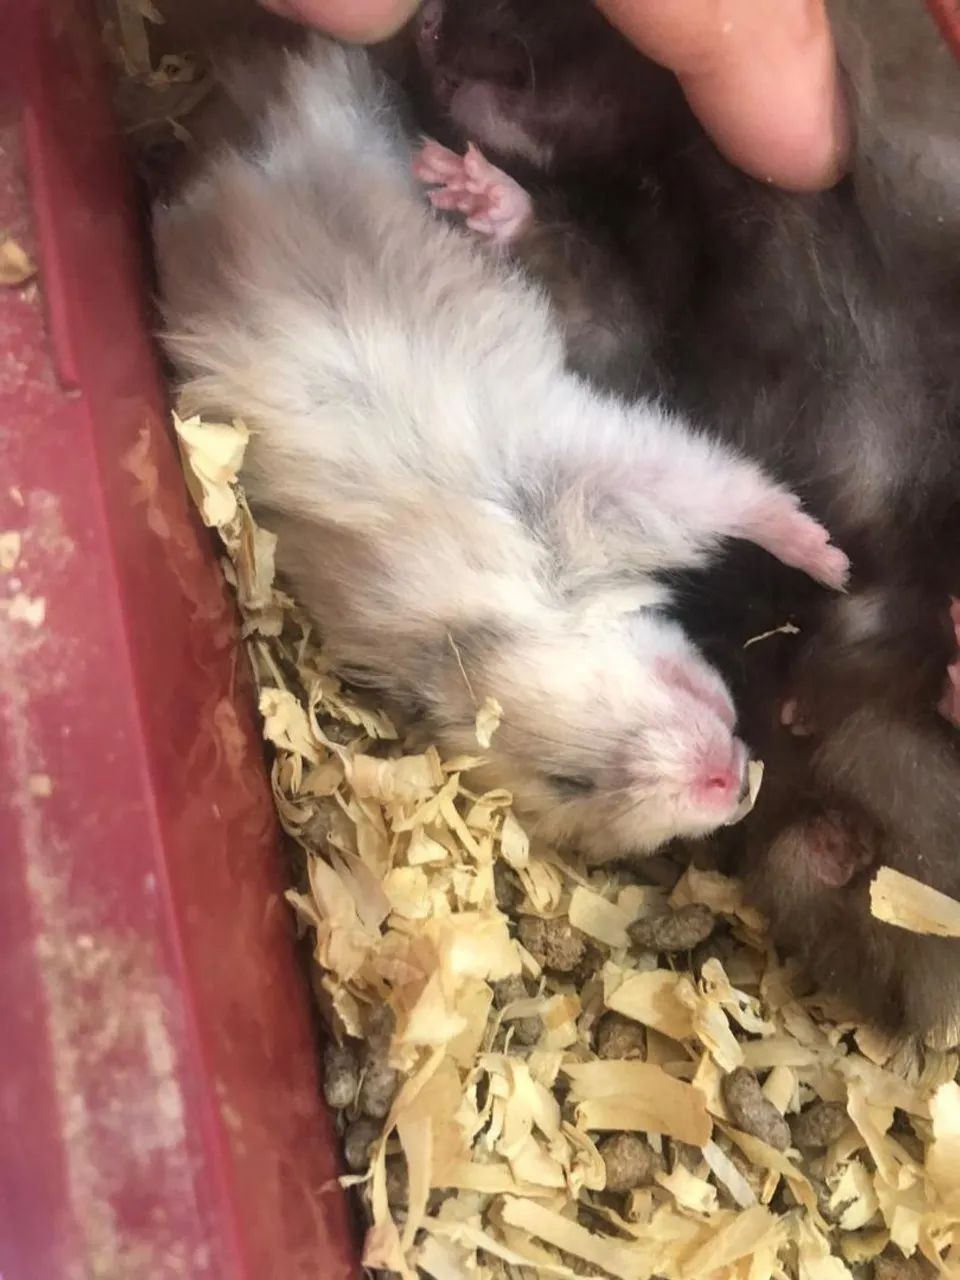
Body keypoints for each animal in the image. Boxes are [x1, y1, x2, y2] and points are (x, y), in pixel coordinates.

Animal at [153, 37, 849, 864]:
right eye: (573, 787)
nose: (730, 787)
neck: (498, 610)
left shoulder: (584, 478)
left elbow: (725, 490)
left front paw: (831, 562)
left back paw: (468, 184)